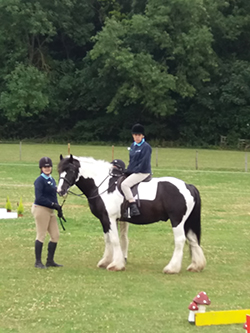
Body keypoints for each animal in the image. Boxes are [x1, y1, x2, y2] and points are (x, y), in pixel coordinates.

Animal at [57, 154, 206, 274]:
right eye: (59, 170)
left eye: (70, 170)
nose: (60, 191)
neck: (103, 186)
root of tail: (188, 186)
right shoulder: (105, 219)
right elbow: (108, 239)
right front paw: (106, 261)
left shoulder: (110, 218)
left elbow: (115, 240)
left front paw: (116, 265)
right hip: (186, 222)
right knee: (192, 239)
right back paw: (196, 266)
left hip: (177, 220)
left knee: (180, 240)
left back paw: (172, 268)